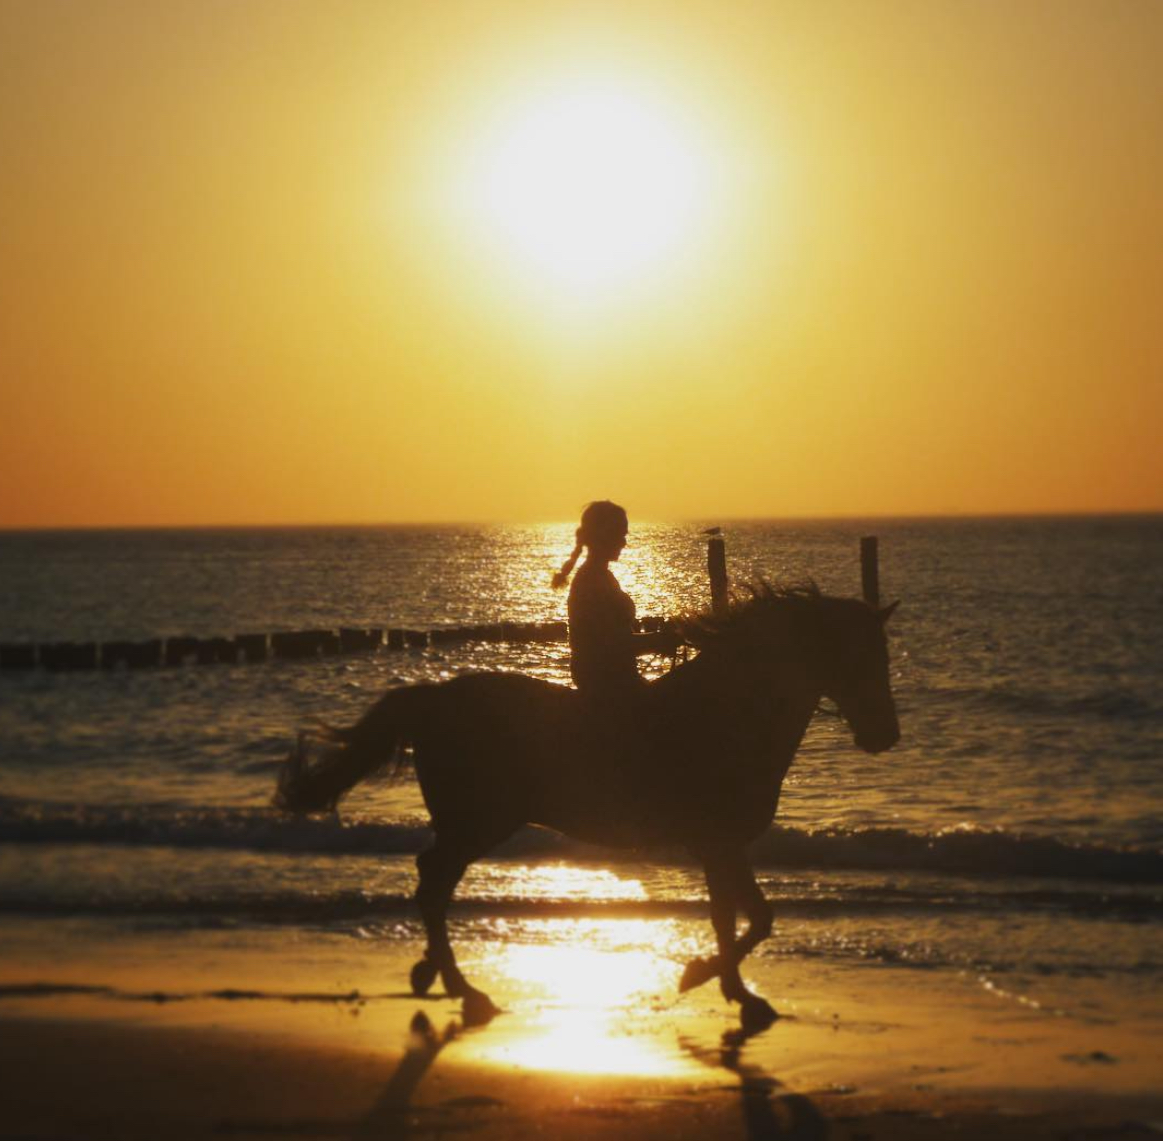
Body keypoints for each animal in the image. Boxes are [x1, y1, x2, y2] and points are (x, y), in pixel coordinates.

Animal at [275, 584, 900, 1031]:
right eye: (859, 657)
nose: (886, 735)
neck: (726, 714)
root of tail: (434, 699)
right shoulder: (717, 842)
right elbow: (751, 919)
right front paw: (706, 980)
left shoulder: (720, 846)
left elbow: (738, 917)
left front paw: (728, 988)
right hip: (477, 823)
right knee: (433, 884)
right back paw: (465, 990)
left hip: (468, 825)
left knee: (432, 883)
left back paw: (435, 975)